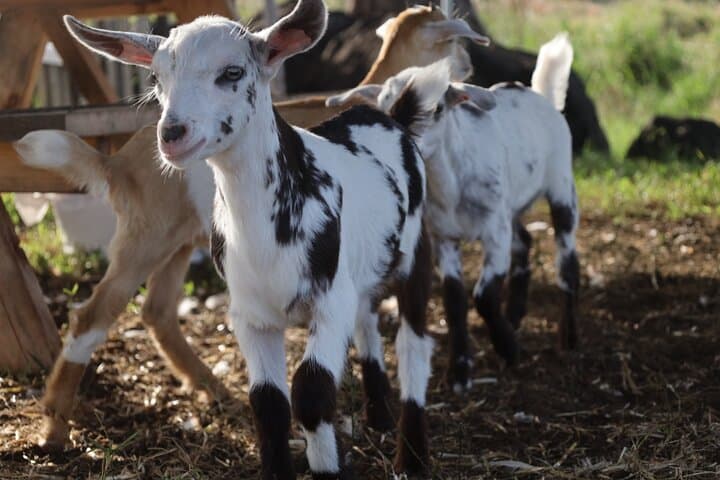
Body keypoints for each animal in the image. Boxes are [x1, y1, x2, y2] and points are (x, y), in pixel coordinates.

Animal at [15, 4, 485, 453]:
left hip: (179, 241)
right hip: (145, 235)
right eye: (155, 77)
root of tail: (117, 164)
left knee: (158, 311)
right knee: (93, 314)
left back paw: (212, 389)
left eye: (231, 72)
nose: (174, 133)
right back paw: (55, 429)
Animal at [329, 34, 579, 392]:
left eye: (437, 108)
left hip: (561, 185)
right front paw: (460, 370)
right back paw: (515, 314)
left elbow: (484, 296)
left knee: (567, 262)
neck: (451, 186)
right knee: (525, 240)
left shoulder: (494, 232)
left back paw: (568, 337)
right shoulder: (444, 237)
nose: (404, 141)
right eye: (383, 108)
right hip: (511, 207)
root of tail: (540, 94)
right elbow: (454, 301)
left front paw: (508, 349)